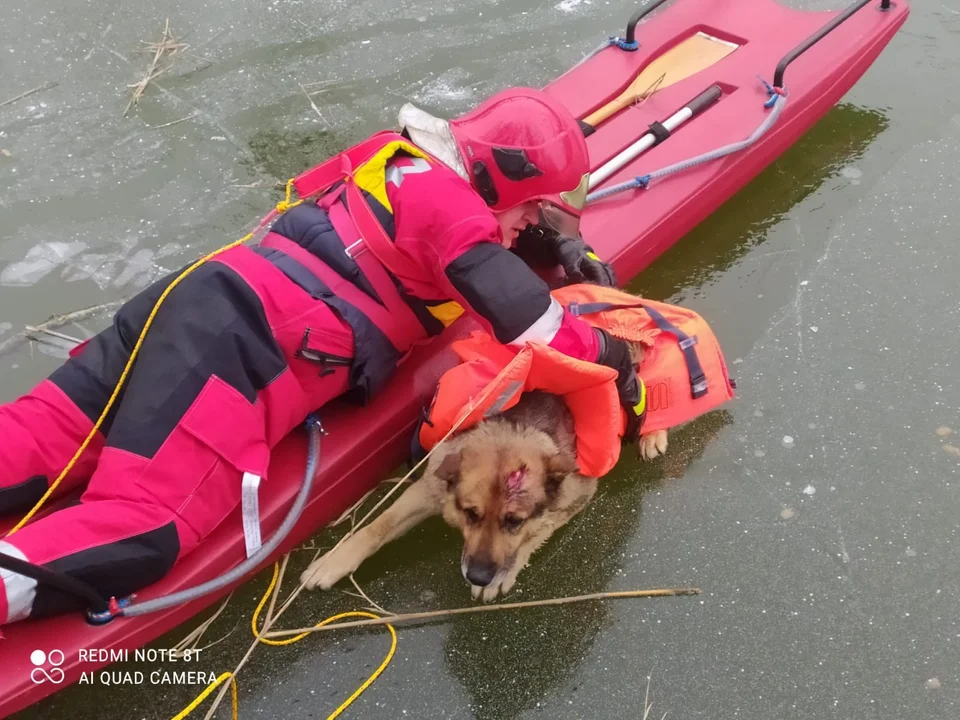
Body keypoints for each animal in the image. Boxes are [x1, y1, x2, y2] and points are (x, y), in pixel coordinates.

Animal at [300, 334, 668, 600]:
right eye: (470, 514)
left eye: (514, 521)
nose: (477, 575)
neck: (512, 429)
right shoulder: (428, 487)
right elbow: (377, 525)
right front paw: (334, 560)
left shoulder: (575, 497)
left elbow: (538, 531)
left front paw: (503, 572)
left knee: (646, 388)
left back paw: (652, 433)